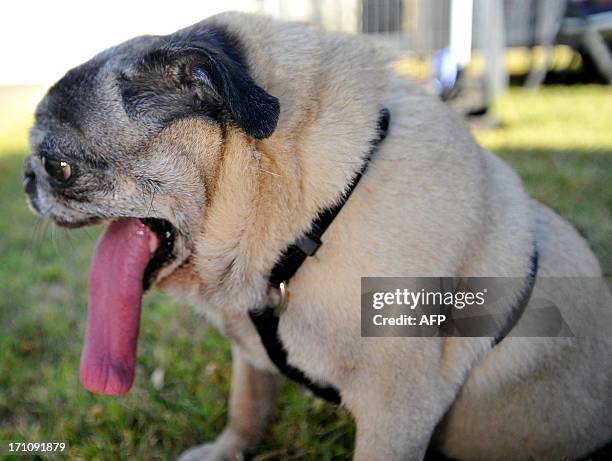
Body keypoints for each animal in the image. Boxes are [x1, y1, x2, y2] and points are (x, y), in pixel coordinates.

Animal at [25, 10, 612, 460]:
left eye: (59, 167)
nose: (28, 178)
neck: (310, 221)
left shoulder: (396, 411)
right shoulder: (250, 360)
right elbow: (247, 407)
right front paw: (226, 451)